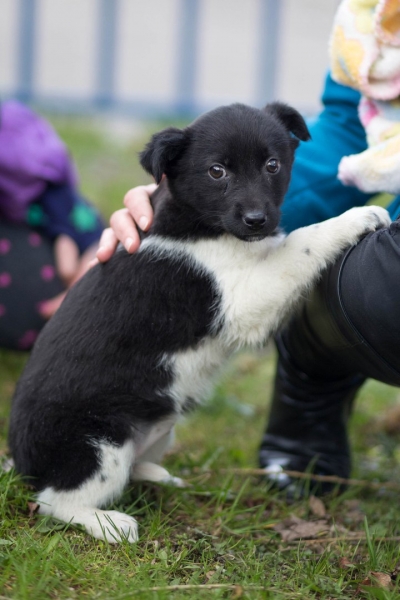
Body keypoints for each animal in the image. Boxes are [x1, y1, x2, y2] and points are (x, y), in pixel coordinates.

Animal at [10, 102, 390, 544]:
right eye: (216, 171)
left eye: (272, 165)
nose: (257, 220)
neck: (205, 226)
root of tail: (20, 465)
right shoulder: (240, 298)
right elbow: (302, 241)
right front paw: (358, 216)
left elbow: (290, 244)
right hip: (98, 442)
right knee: (54, 501)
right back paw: (109, 523)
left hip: (157, 429)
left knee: (129, 467)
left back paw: (158, 476)